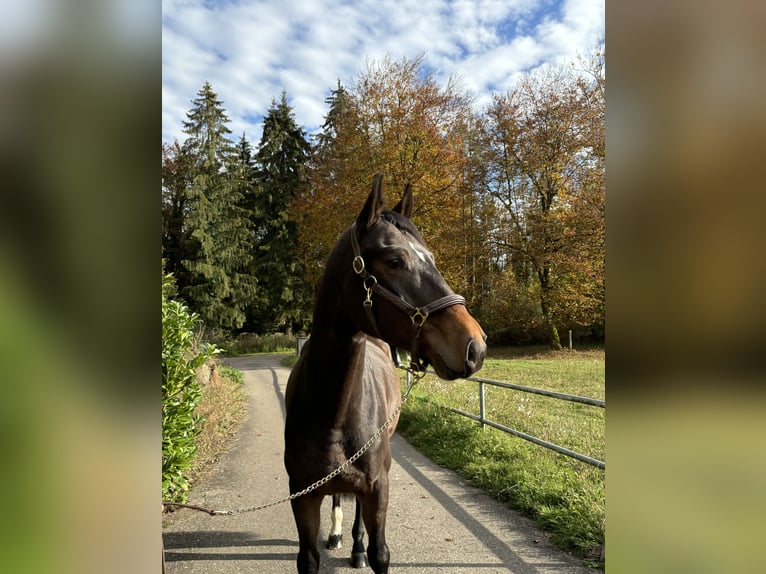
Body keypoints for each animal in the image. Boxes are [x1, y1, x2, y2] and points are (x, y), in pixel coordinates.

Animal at [284, 176, 488, 574]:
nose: (475, 346)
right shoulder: (302, 495)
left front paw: (363, 549)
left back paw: (355, 547)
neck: (330, 411)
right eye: (394, 260)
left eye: (432, 259)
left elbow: (380, 552)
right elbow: (310, 556)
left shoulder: (378, 488)